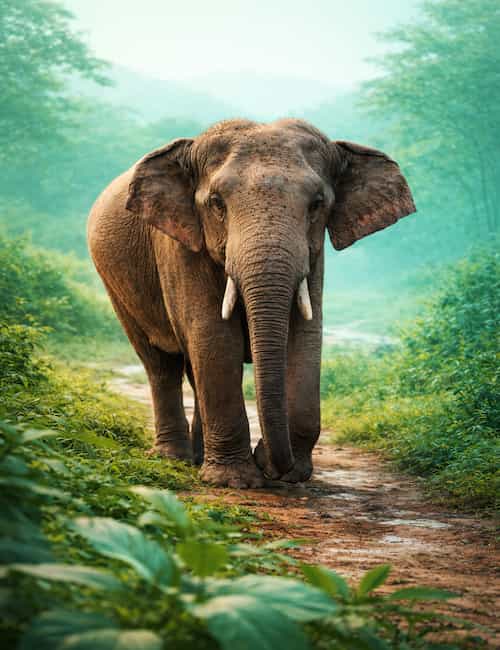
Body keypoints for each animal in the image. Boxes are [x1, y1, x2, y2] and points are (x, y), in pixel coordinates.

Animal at [88, 118, 415, 488]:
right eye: (217, 203)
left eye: (317, 204)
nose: (271, 462)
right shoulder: (179, 246)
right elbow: (214, 337)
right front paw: (234, 481)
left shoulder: (313, 257)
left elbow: (305, 337)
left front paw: (290, 475)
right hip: (117, 287)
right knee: (161, 364)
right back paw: (176, 457)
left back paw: (199, 457)